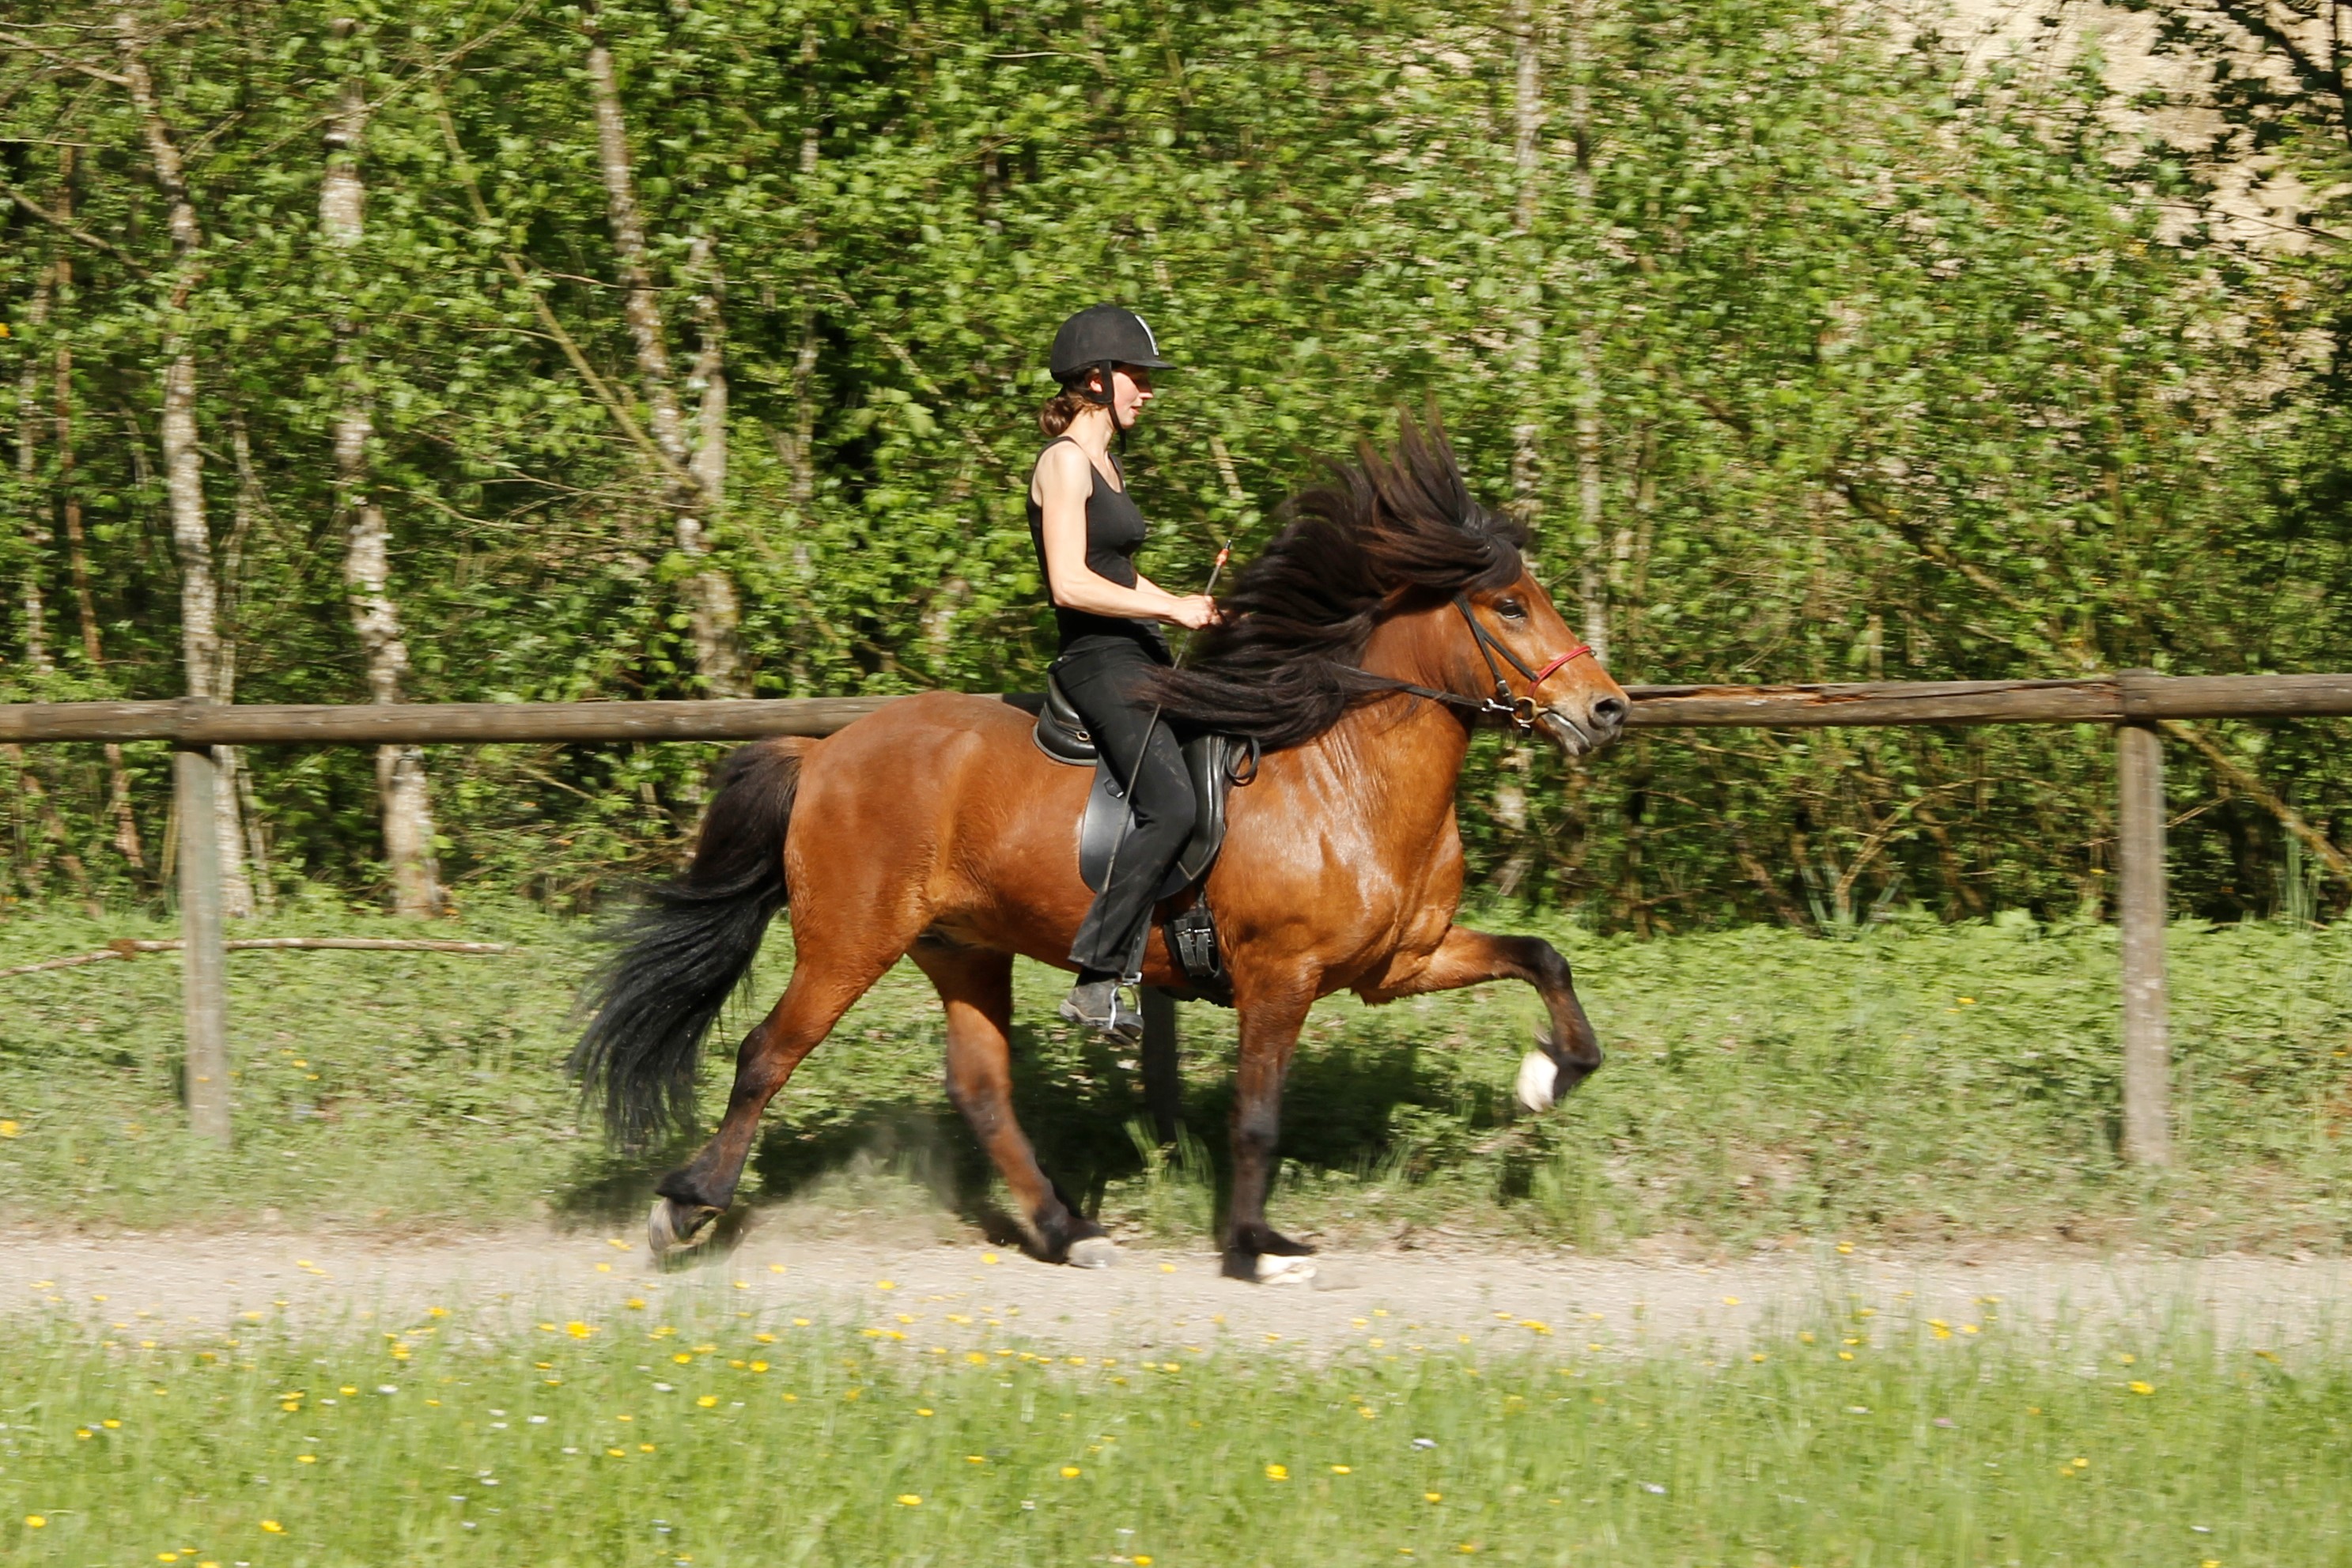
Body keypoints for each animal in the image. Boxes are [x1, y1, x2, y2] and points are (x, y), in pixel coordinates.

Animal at [578, 414, 1628, 1279]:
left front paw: (1547, 1077)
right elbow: (1257, 1117)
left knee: (980, 1087)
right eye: (1509, 608)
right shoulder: (1279, 975)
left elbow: (1544, 958)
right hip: (847, 940)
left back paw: (1065, 1230)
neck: (1344, 778)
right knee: (768, 1053)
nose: (1606, 712)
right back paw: (686, 1209)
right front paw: (1257, 1246)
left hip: (962, 947)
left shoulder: (1400, 960)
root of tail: (825, 750)